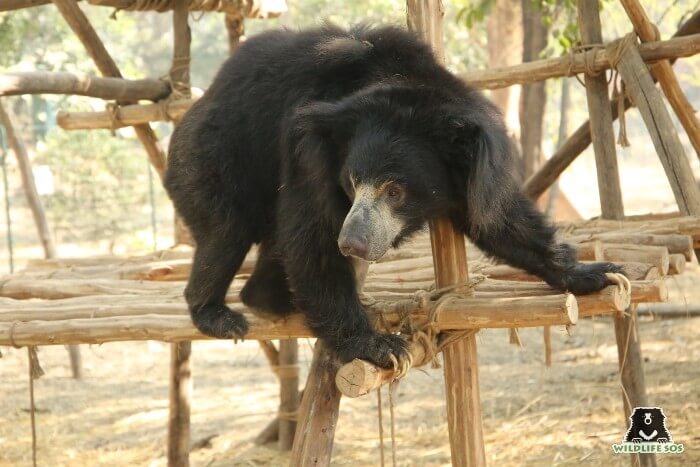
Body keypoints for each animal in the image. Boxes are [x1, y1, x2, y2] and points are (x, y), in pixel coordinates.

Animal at [165, 24, 624, 370]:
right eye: (351, 182)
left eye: (395, 191)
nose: (352, 243)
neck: (398, 86)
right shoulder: (308, 151)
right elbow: (312, 234)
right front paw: (378, 345)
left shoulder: (470, 167)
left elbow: (498, 218)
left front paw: (594, 273)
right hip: (208, 157)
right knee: (226, 231)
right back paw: (218, 314)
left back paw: (268, 299)